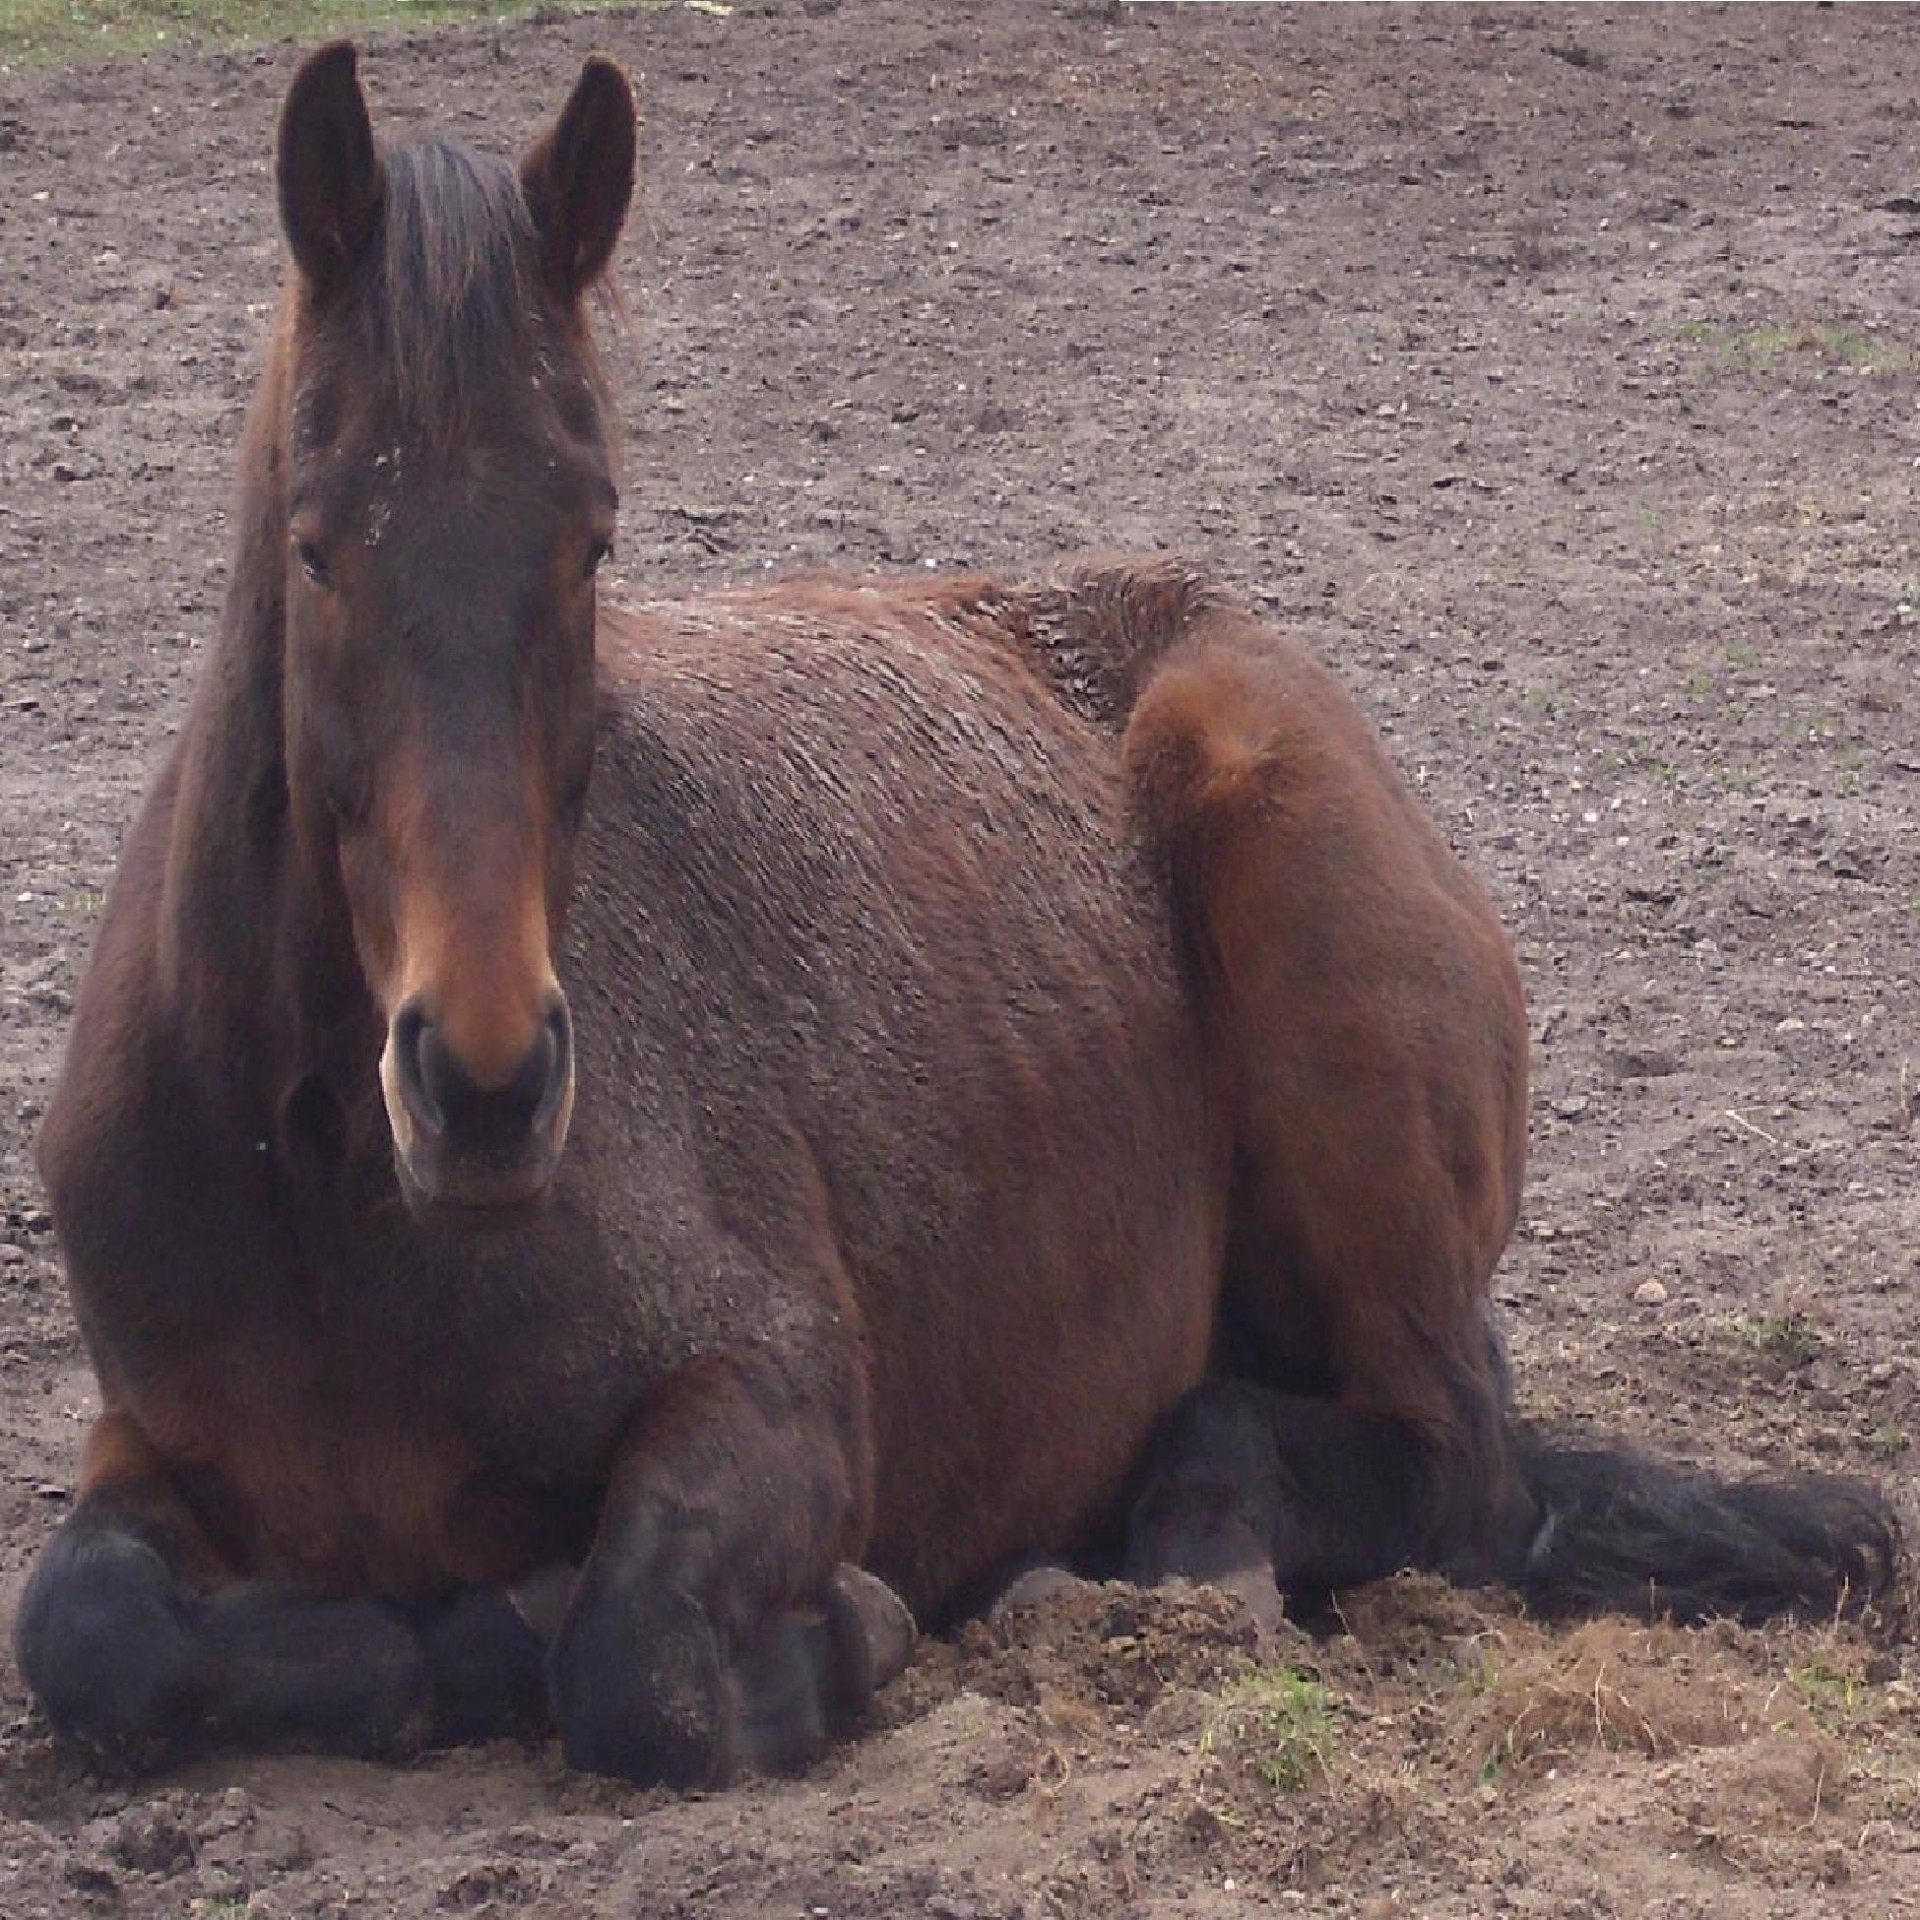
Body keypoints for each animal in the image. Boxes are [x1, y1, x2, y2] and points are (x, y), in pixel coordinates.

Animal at [15, 41, 1904, 1781]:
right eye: (317, 544)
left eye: (593, 538)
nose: (484, 1088)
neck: (330, 1199)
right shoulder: (150, 1448)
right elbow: (88, 1629)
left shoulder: (779, 1401)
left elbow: (632, 1657)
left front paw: (789, 1639)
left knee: (1453, 1471)